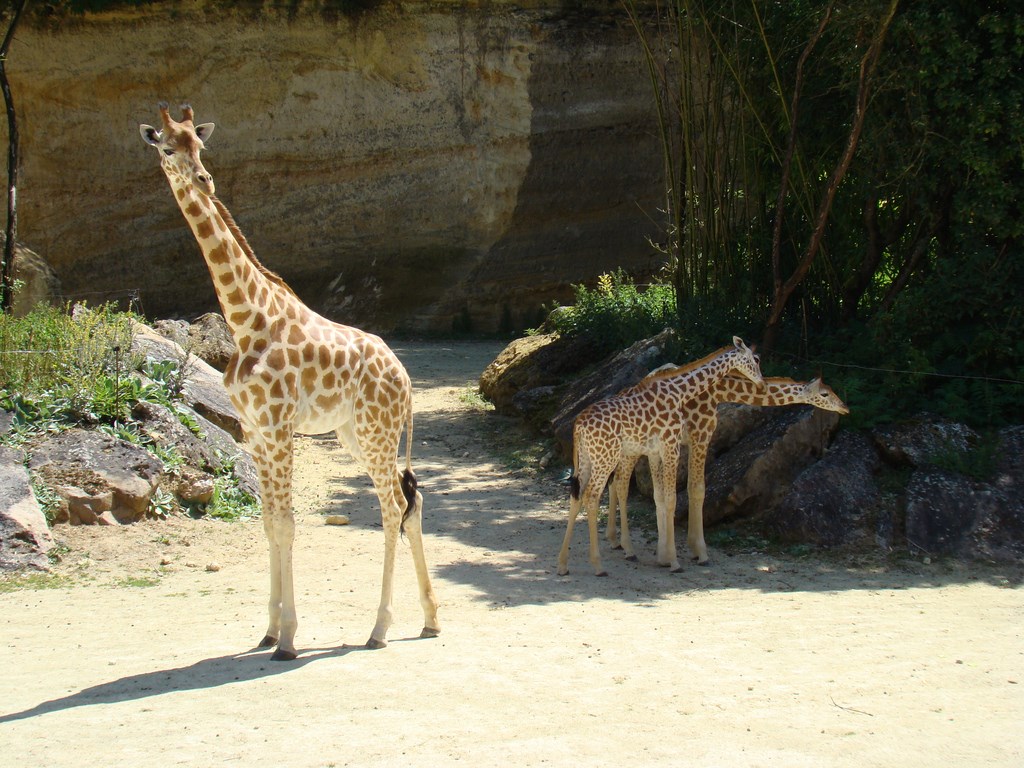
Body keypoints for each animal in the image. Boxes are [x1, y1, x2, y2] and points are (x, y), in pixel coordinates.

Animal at [140, 103, 439, 659]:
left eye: (200, 146)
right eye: (168, 147)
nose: (204, 179)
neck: (245, 319)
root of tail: (406, 380)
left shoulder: (279, 428)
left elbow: (287, 523)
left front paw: (289, 639)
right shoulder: (255, 432)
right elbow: (268, 523)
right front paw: (269, 629)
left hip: (376, 432)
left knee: (392, 507)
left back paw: (380, 628)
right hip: (356, 434)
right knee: (412, 503)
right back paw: (430, 619)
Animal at [557, 337, 764, 576]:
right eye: (756, 359)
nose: (761, 382)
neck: (679, 392)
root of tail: (578, 426)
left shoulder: (657, 451)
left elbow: (662, 497)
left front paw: (666, 557)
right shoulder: (670, 446)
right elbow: (672, 499)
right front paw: (674, 562)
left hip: (588, 459)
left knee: (577, 495)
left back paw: (563, 565)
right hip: (606, 457)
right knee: (592, 496)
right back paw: (598, 566)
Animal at [604, 375, 849, 567]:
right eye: (825, 394)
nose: (845, 407)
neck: (718, 392)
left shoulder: (675, 445)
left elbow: (666, 495)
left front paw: (668, 552)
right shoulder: (700, 436)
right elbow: (696, 490)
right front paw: (699, 552)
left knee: (615, 483)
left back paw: (616, 541)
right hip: (631, 450)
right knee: (620, 484)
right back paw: (627, 549)